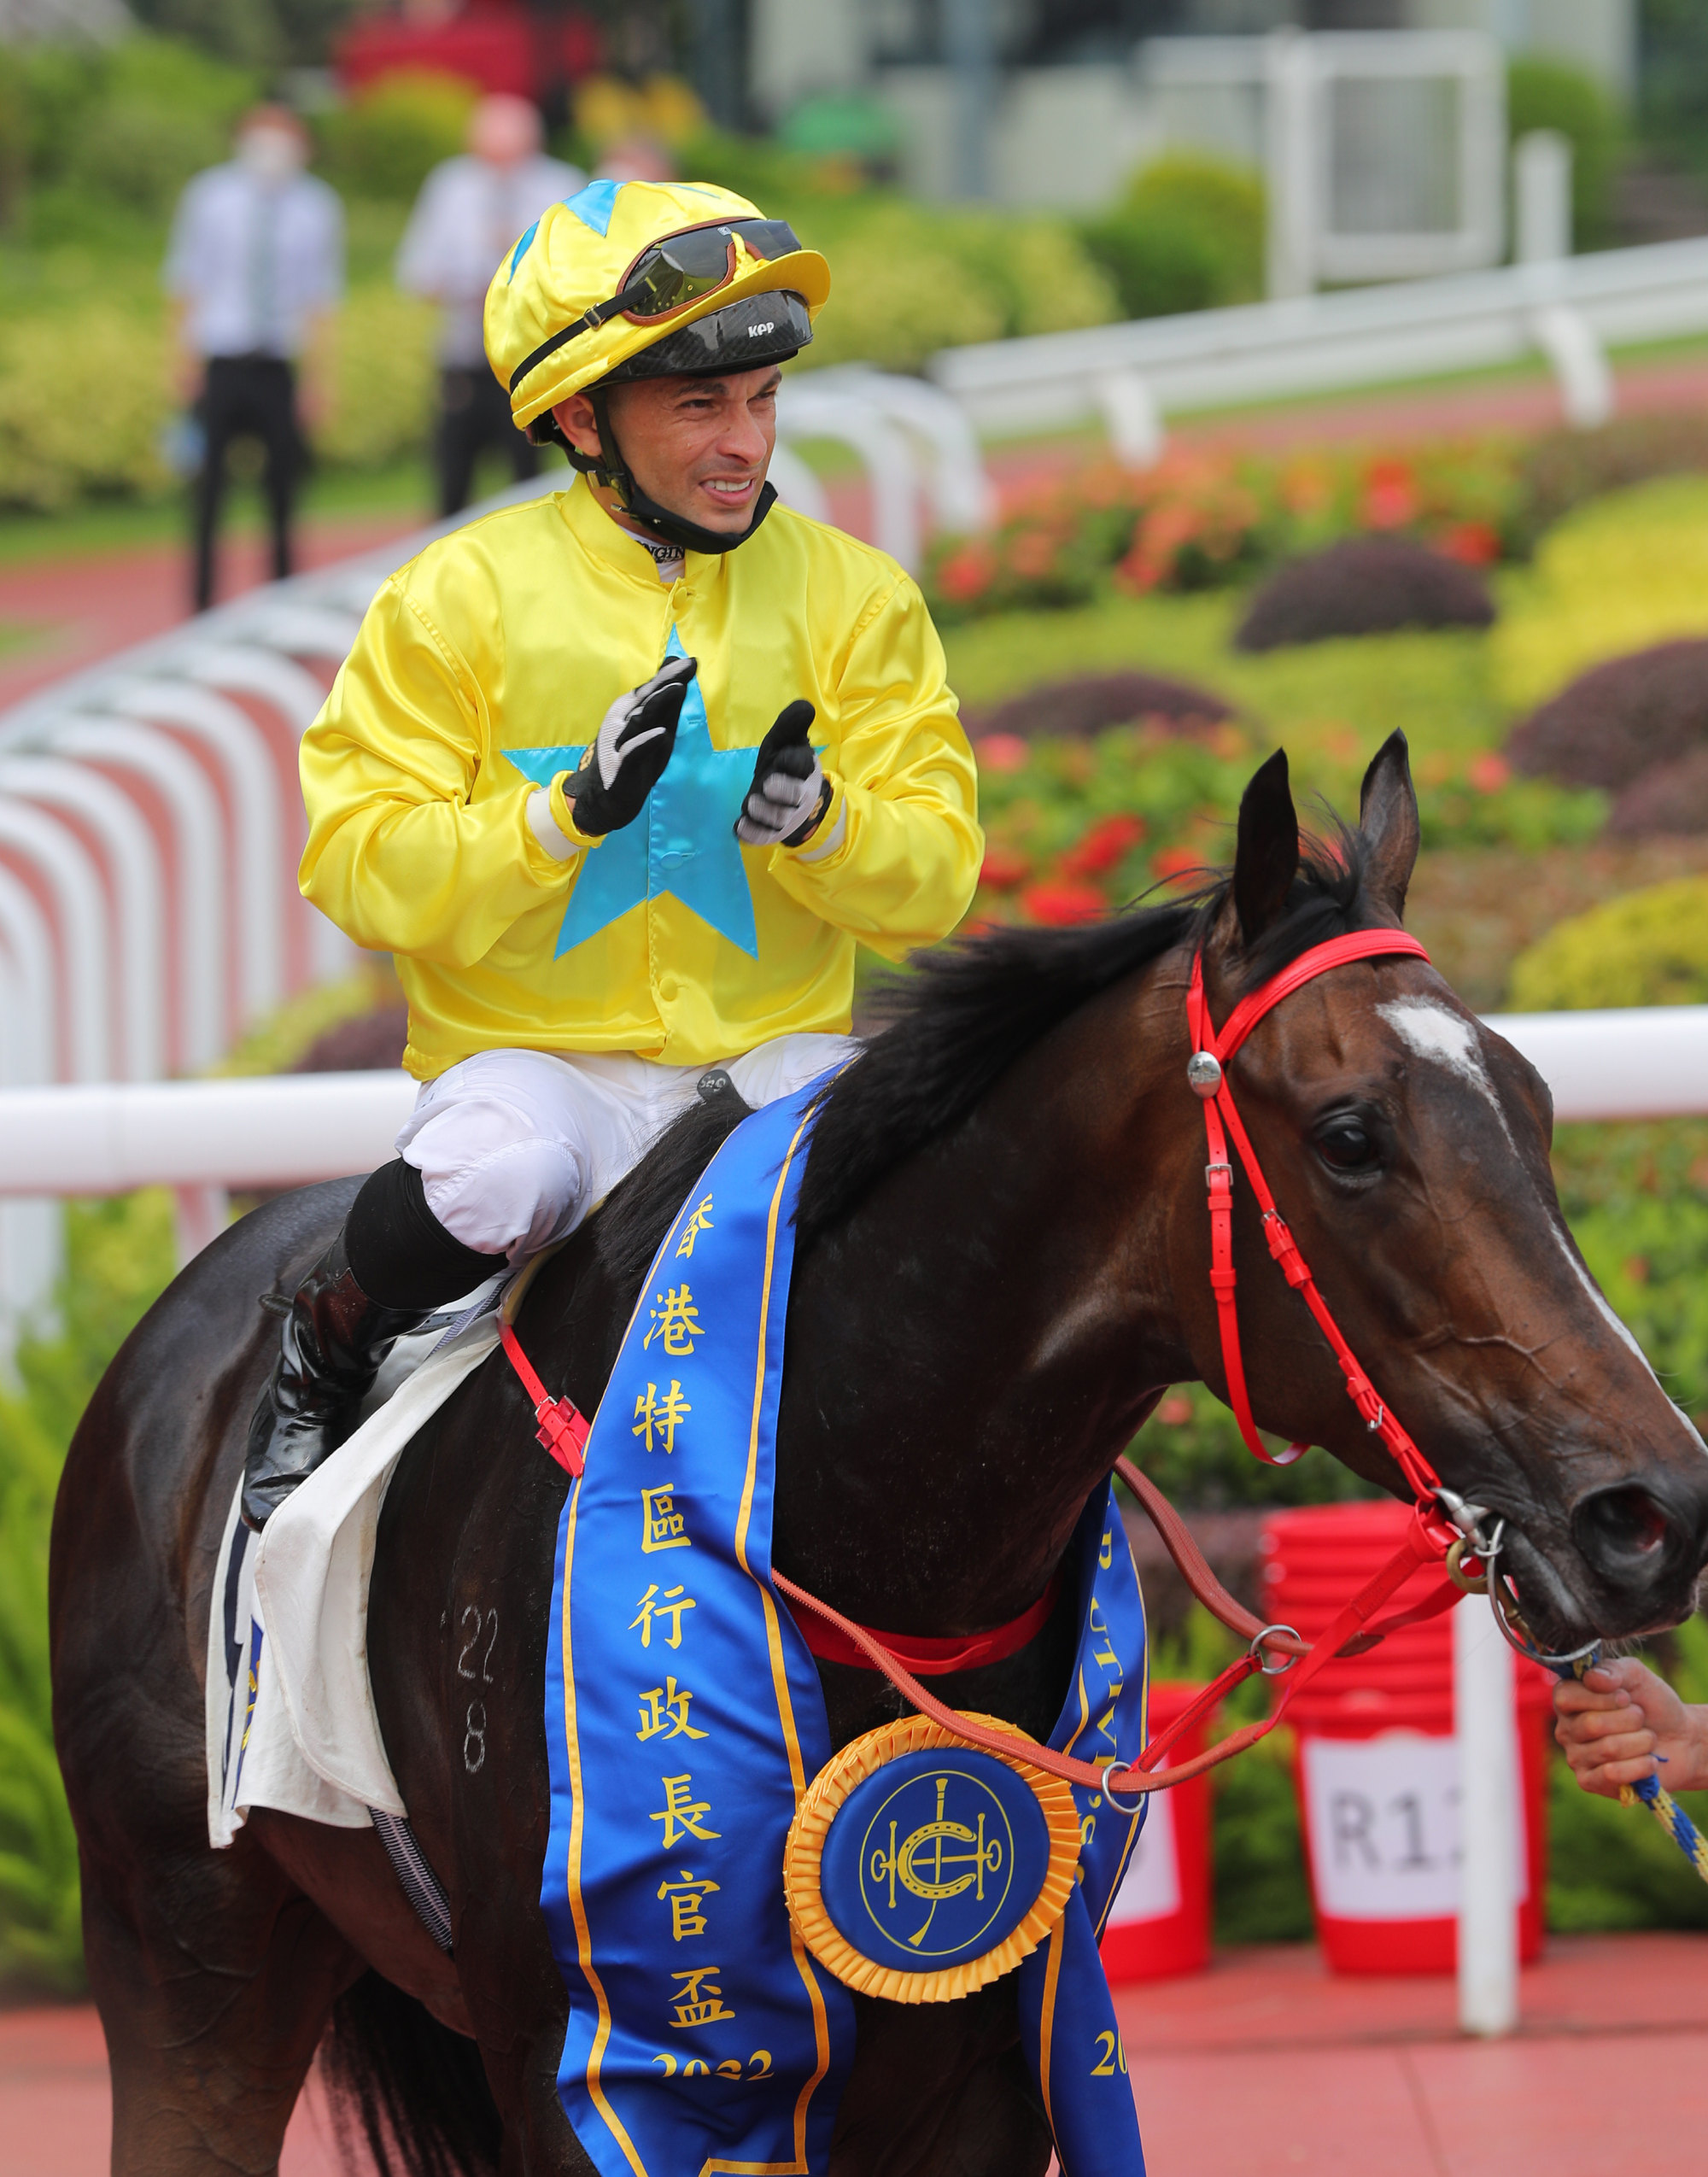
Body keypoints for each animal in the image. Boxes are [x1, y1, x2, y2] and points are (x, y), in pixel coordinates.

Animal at [50, 735, 1705, 2177]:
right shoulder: (607, 2075)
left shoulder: (982, 2065)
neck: (840, 1520)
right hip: (189, 1952)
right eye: (1352, 1134)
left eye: (1539, 1104)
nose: (1653, 1510)